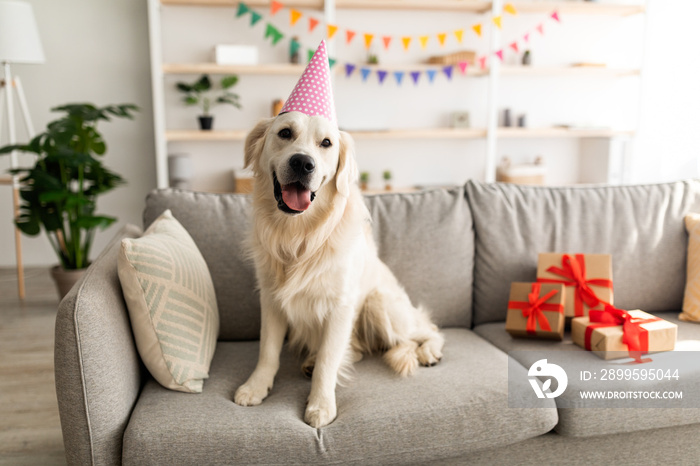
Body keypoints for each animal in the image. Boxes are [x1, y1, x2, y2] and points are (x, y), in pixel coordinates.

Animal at [234, 111, 442, 428]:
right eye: (285, 133)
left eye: (326, 143)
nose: (302, 163)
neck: (299, 236)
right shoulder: (270, 298)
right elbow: (267, 350)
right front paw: (256, 386)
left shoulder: (340, 307)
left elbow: (328, 360)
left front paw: (321, 405)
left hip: (381, 305)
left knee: (429, 327)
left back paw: (430, 351)